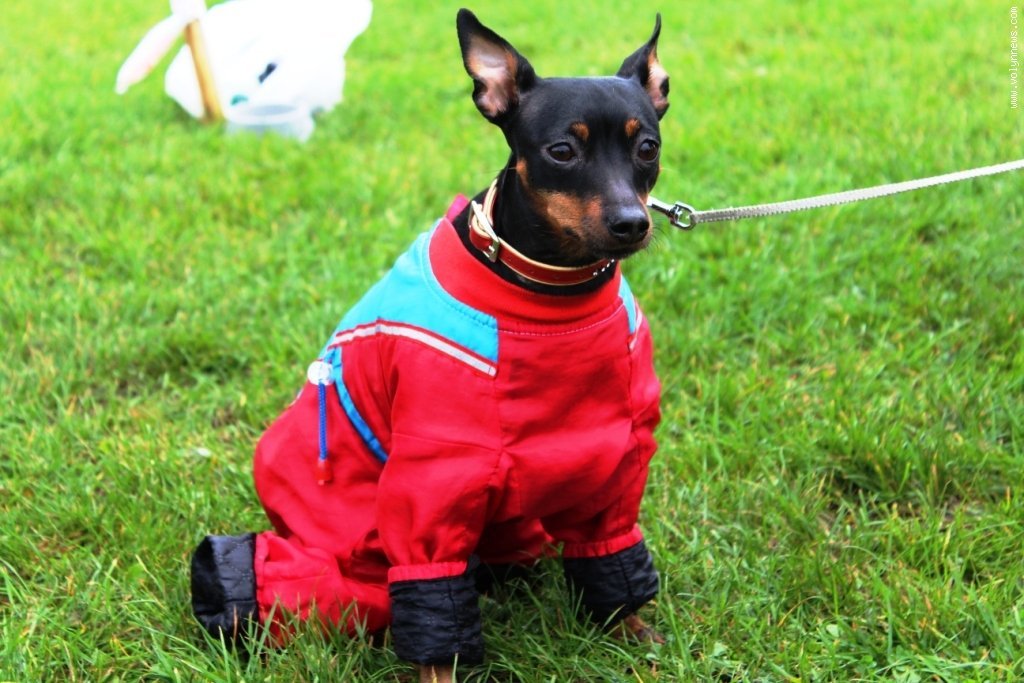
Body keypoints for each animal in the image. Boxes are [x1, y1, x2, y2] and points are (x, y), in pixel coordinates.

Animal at [191, 9, 669, 682]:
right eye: (562, 151)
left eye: (646, 148)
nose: (633, 223)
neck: (549, 299)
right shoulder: (436, 476)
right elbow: (432, 597)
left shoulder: (615, 453)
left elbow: (611, 549)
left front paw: (630, 629)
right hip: (343, 549)